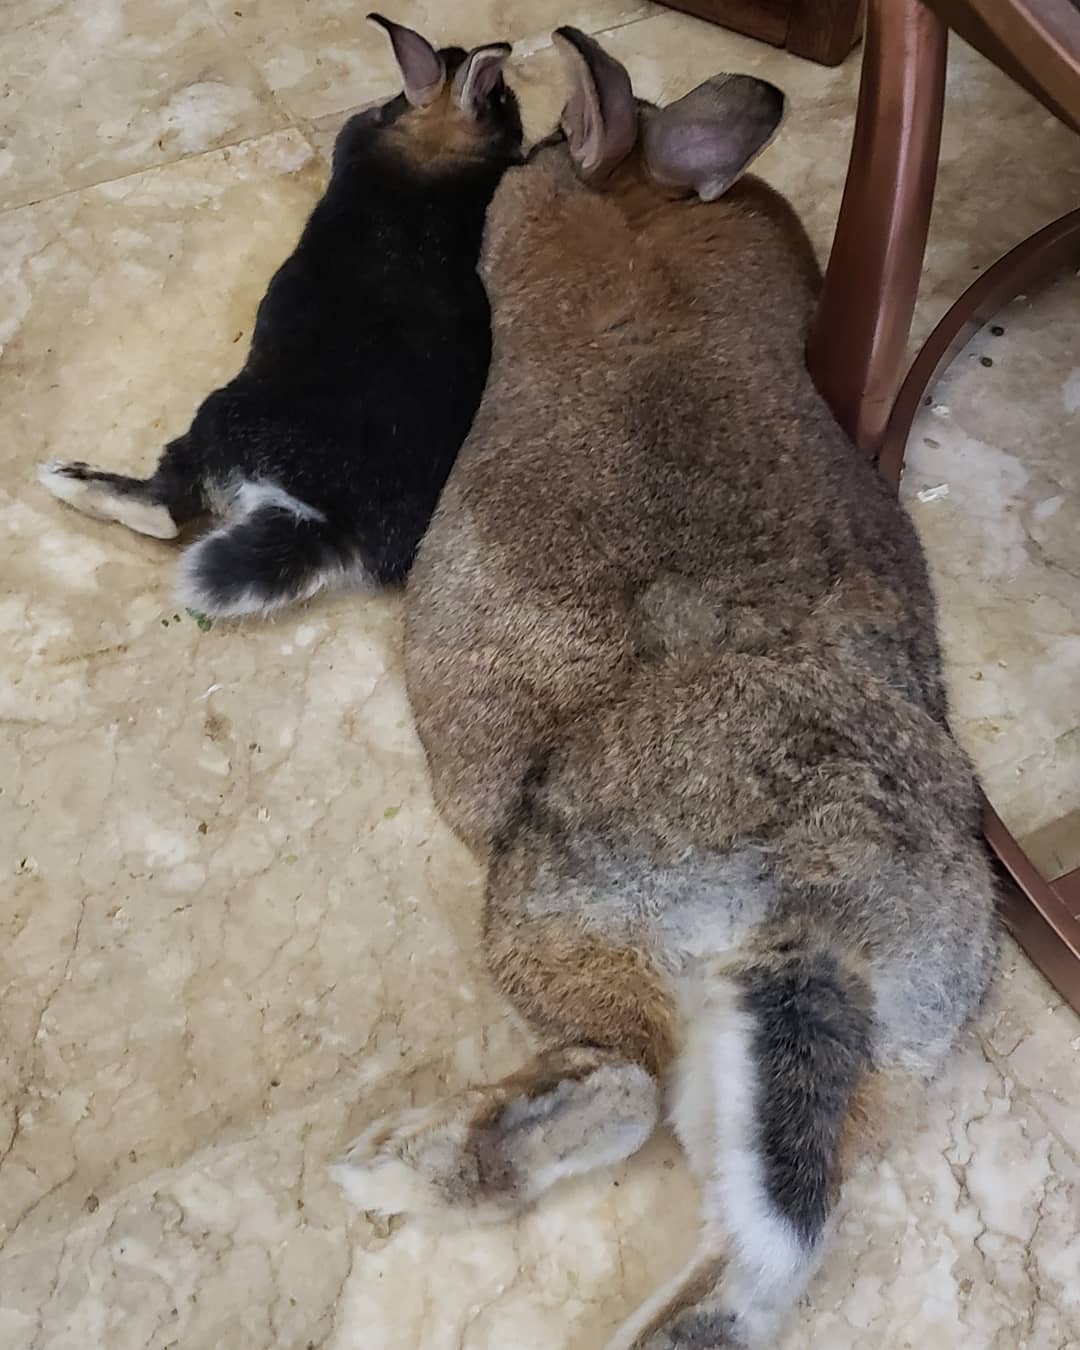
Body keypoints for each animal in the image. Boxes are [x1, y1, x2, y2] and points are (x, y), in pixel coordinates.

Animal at [37, 14, 523, 618]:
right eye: (502, 101)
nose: (517, 110)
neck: (433, 146)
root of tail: (326, 522)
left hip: (217, 422)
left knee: (165, 509)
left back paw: (67, 478)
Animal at [331, 27, 998, 1350]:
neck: (642, 231)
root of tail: (824, 910)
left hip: (567, 906)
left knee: (618, 1080)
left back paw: (398, 1166)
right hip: (858, 1060)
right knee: (766, 1239)